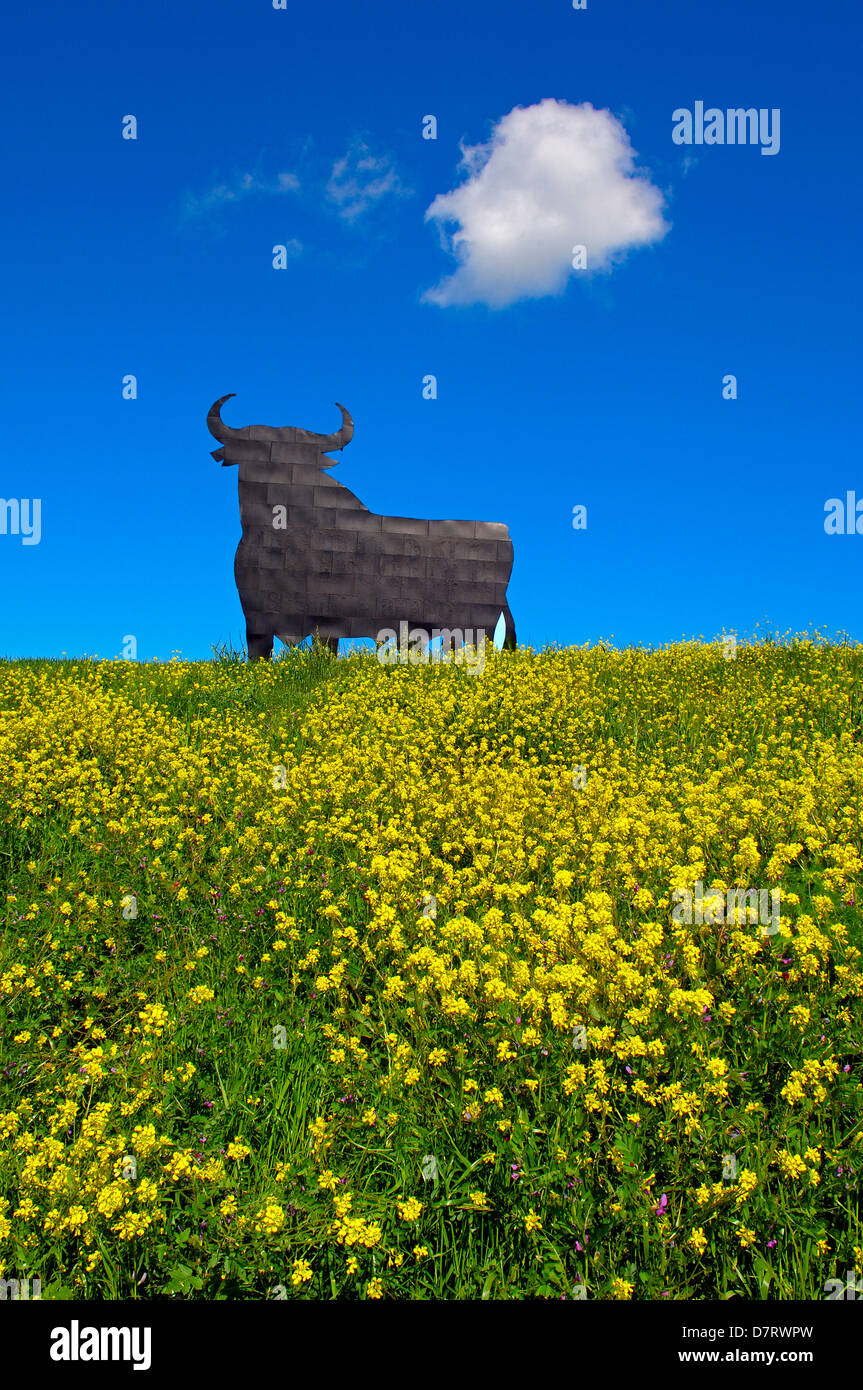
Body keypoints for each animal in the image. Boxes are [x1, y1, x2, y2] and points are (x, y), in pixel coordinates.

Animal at [208, 394, 517, 661]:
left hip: (476, 623)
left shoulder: (317, 619)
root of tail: (504, 531)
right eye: (257, 452)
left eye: (304, 458)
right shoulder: (258, 618)